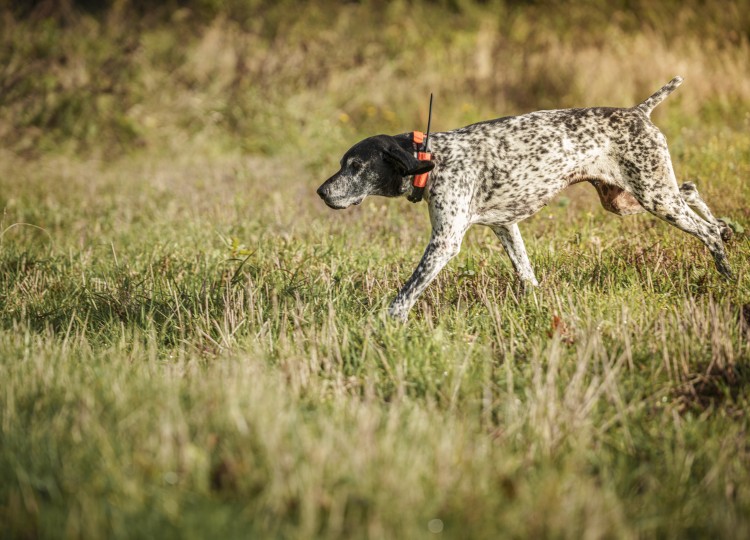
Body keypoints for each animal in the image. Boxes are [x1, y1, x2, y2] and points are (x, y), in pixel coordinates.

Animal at [316, 77, 736, 320]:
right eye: (343, 164)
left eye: (355, 165)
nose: (321, 192)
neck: (431, 159)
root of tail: (638, 111)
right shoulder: (506, 228)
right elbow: (526, 275)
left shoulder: (445, 242)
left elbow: (405, 294)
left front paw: (385, 323)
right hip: (630, 198)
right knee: (691, 189)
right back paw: (726, 227)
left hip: (653, 197)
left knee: (704, 231)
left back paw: (726, 267)